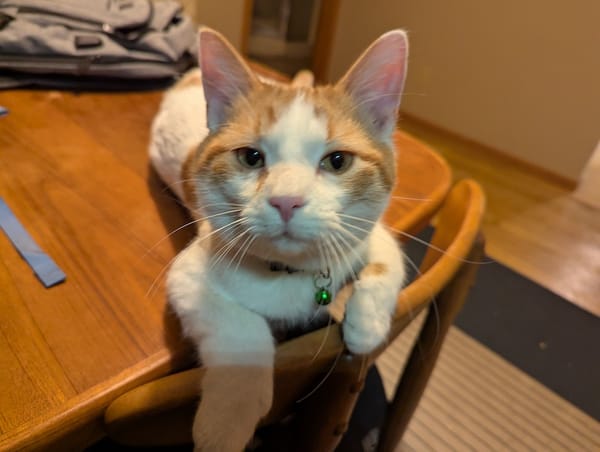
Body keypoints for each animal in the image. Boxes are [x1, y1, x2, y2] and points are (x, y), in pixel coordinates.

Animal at [149, 28, 408, 452]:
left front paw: (366, 326)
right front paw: (227, 419)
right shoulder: (189, 272)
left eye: (338, 161)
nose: (287, 200)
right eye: (250, 157)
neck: (292, 273)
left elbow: (388, 260)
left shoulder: (368, 231)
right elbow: (243, 330)